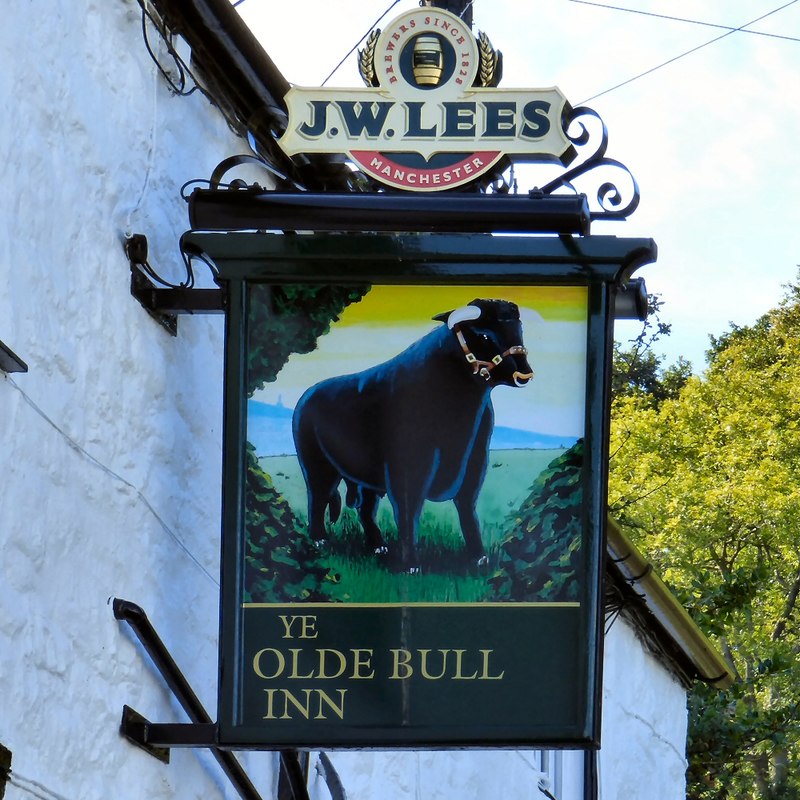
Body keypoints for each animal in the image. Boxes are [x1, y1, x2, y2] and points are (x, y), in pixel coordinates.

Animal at [290, 300, 536, 568]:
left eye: (519, 331)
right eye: (484, 335)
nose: (524, 375)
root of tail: (309, 394)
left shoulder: (476, 459)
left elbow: (467, 508)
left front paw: (479, 557)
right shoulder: (408, 466)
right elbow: (408, 509)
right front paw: (410, 565)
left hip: (367, 476)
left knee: (366, 508)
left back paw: (379, 547)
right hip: (317, 465)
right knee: (318, 497)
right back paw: (320, 541)